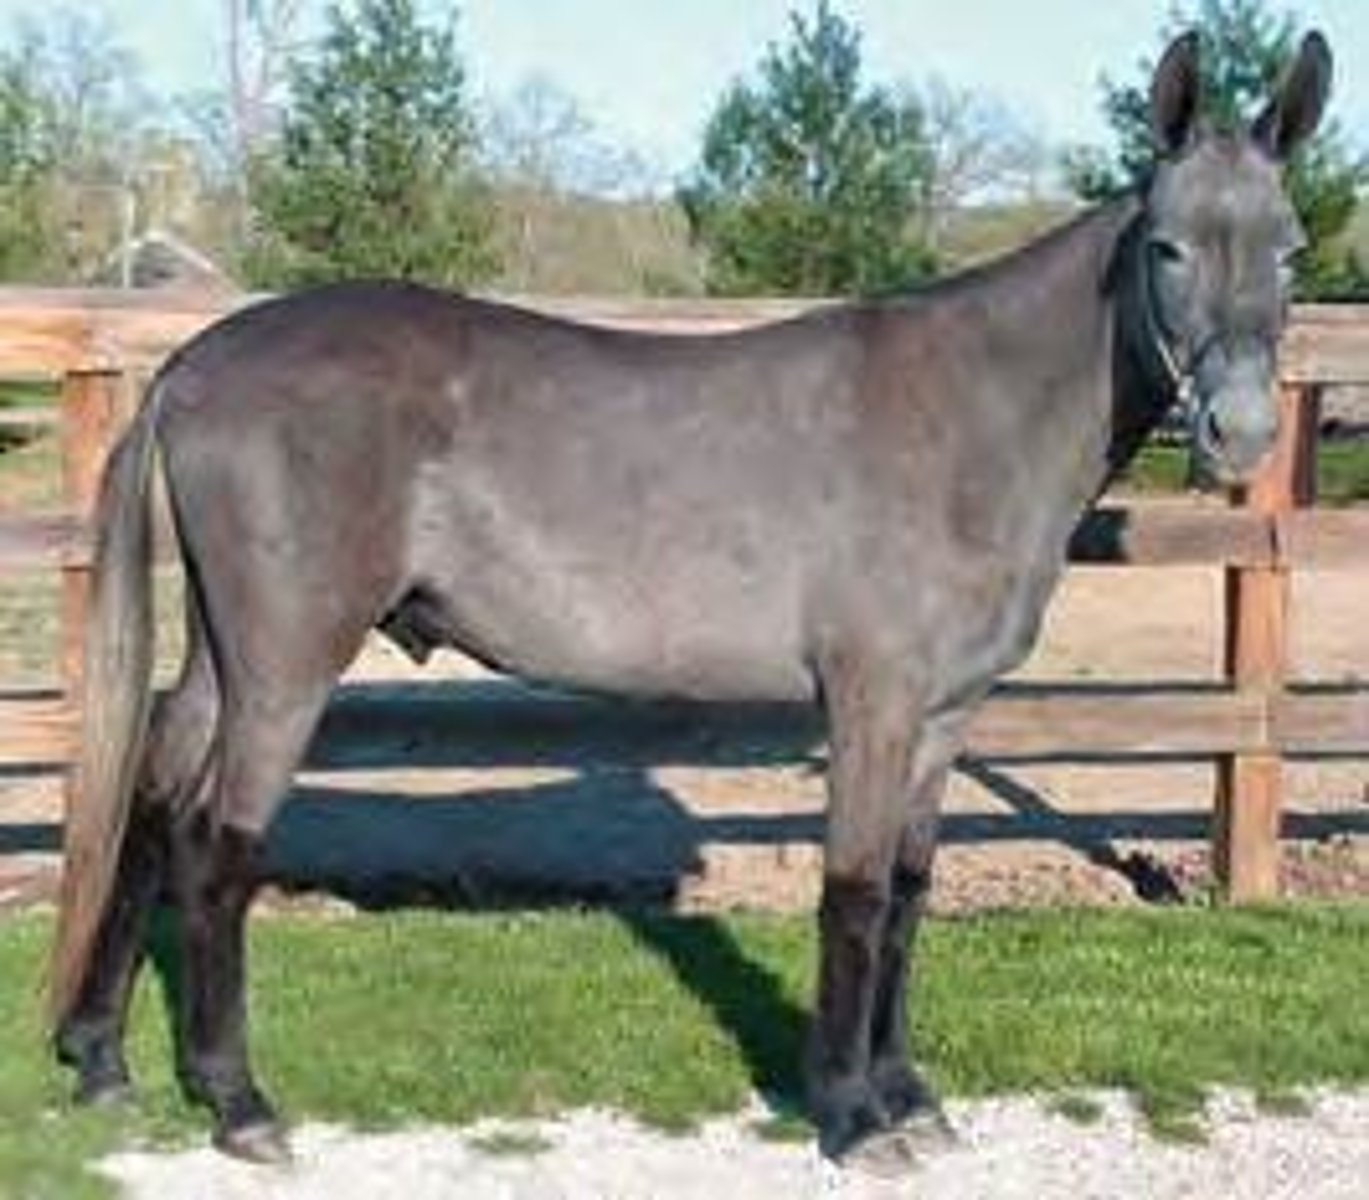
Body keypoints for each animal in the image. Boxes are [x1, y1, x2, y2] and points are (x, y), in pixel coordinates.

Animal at [50, 30, 1331, 1169]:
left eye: (1288, 247)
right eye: (1166, 247)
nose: (1239, 432)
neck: (967, 417)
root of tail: (194, 365)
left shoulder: (941, 721)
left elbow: (911, 894)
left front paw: (907, 1095)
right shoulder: (871, 704)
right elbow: (855, 894)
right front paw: (850, 1117)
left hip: (226, 656)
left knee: (154, 801)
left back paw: (102, 1058)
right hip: (287, 663)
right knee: (218, 847)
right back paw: (238, 1102)